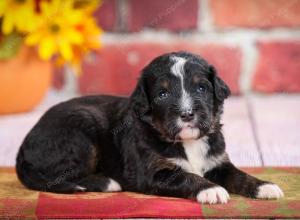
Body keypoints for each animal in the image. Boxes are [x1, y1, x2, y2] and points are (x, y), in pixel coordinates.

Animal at [16, 50, 284, 204]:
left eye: (201, 88)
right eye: (162, 94)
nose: (187, 114)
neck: (187, 142)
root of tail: (24, 145)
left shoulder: (218, 161)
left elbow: (238, 174)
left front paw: (265, 186)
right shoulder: (153, 172)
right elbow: (186, 175)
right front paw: (211, 190)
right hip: (80, 131)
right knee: (58, 177)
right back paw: (108, 182)